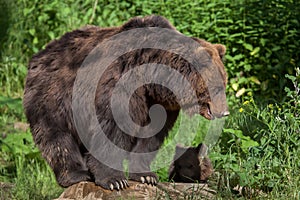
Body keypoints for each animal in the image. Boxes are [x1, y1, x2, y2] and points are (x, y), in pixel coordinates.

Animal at [23, 15, 229, 191]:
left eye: (224, 83)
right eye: (217, 87)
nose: (225, 112)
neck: (153, 79)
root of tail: (40, 53)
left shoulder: (157, 103)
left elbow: (150, 136)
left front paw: (146, 176)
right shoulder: (119, 84)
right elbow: (111, 130)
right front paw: (114, 180)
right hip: (53, 95)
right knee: (56, 135)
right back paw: (76, 174)